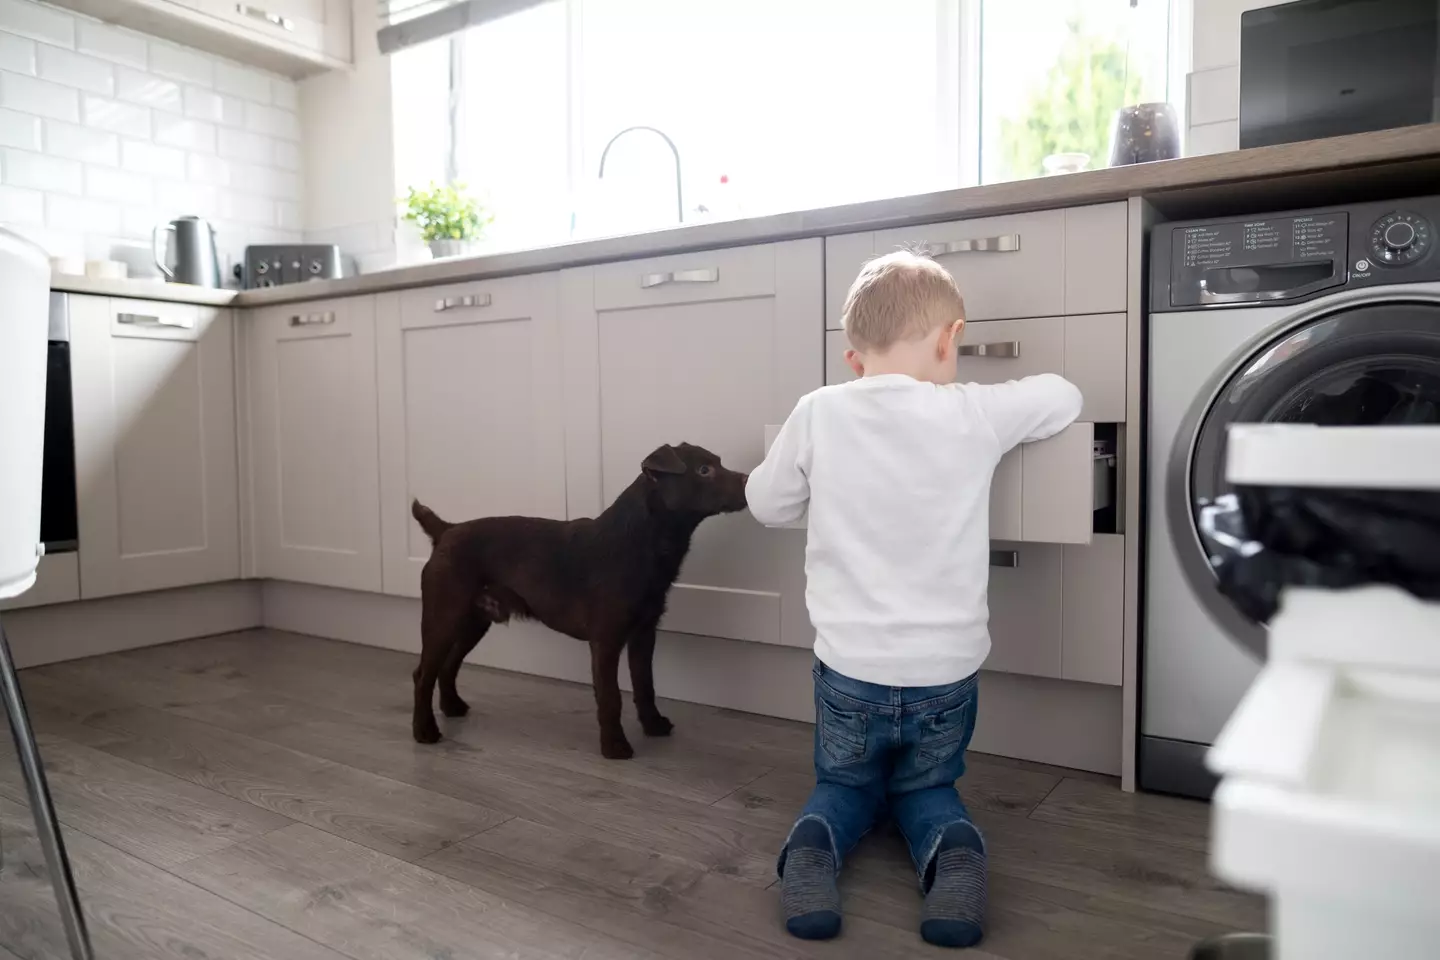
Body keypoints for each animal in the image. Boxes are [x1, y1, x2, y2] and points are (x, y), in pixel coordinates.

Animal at [406, 443, 743, 759]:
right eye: (704, 470)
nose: (747, 479)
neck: (642, 540)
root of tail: (446, 530)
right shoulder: (606, 641)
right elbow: (610, 697)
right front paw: (614, 746)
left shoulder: (644, 634)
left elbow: (645, 684)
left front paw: (653, 725)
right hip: (443, 619)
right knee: (423, 674)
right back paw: (424, 730)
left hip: (472, 622)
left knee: (448, 665)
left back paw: (452, 707)